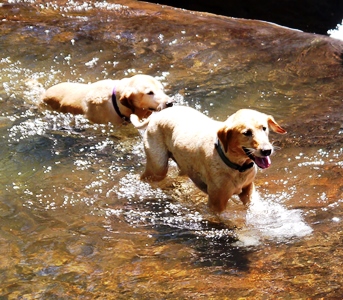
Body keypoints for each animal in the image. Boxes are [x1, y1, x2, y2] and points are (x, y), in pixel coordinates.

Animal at [132, 105, 288, 213]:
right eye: (246, 133)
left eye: (264, 128)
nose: (267, 150)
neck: (236, 166)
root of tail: (156, 115)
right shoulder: (216, 204)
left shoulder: (248, 190)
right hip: (158, 168)